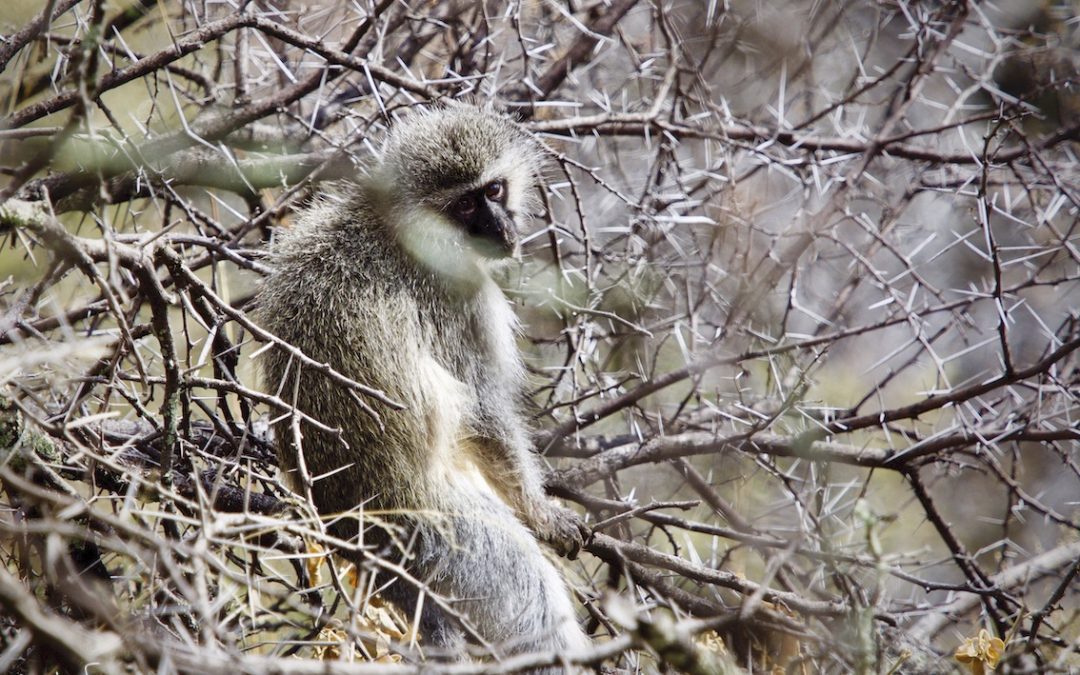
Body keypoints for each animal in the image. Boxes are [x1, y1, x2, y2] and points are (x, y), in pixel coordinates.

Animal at [255, 105, 589, 664]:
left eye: (494, 190)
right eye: (465, 204)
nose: (500, 228)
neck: (393, 226)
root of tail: (346, 522)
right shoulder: (461, 298)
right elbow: (484, 410)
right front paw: (543, 514)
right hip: (444, 536)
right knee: (534, 606)